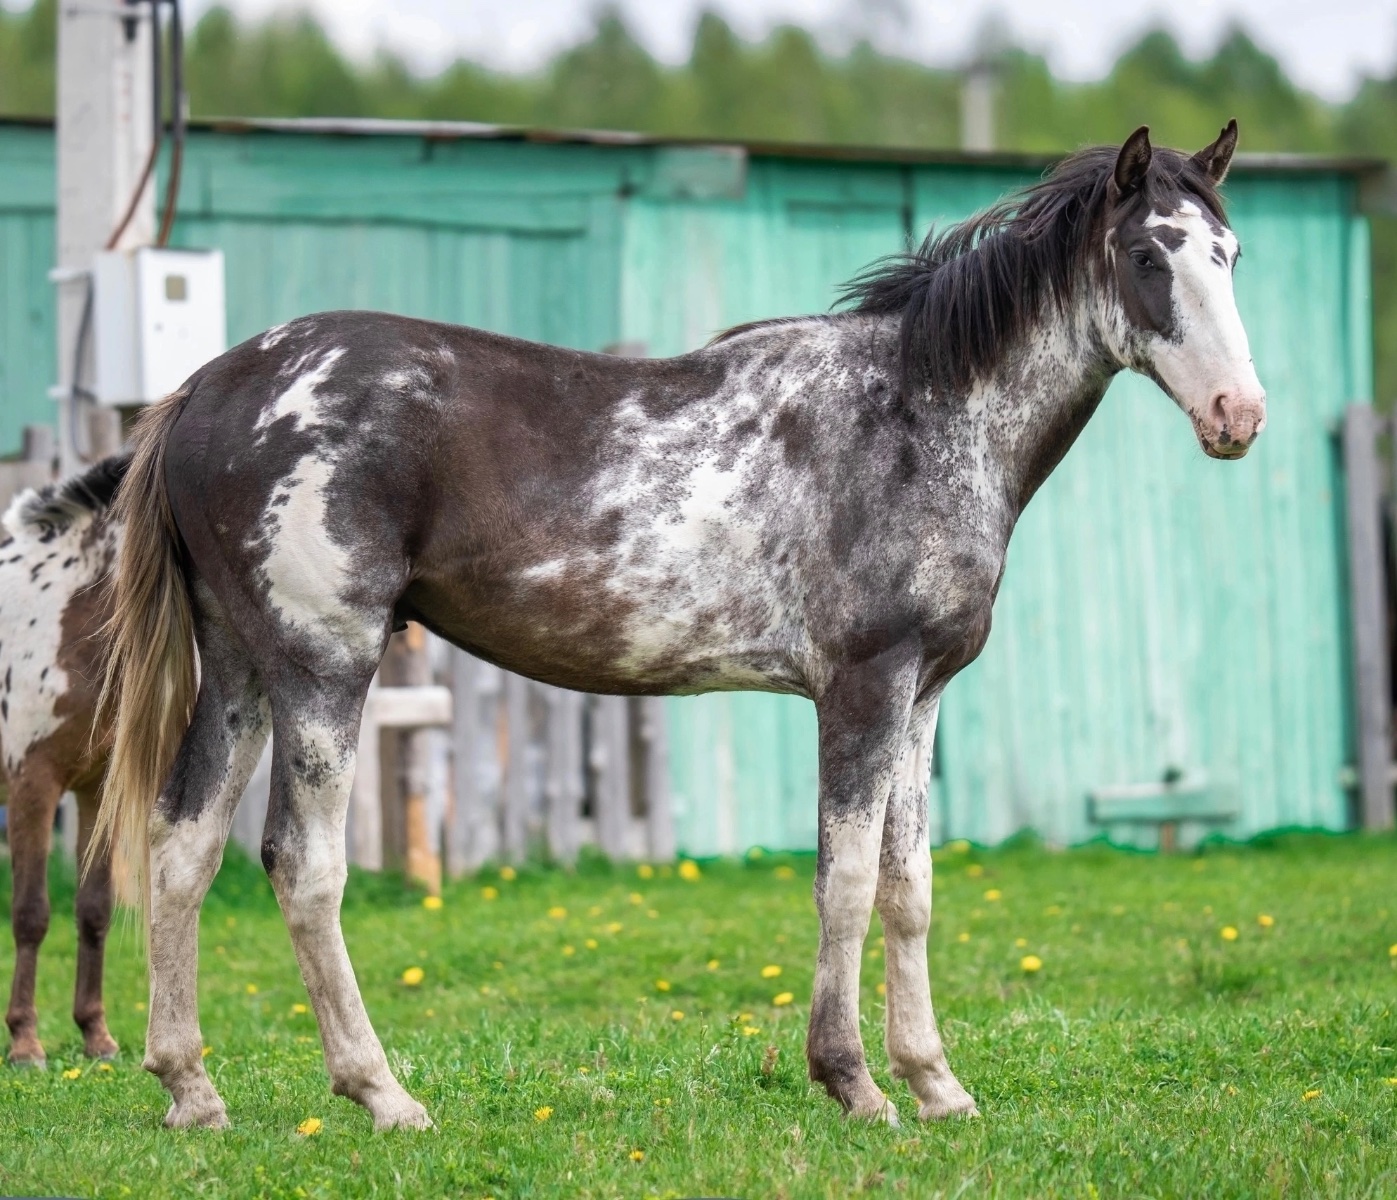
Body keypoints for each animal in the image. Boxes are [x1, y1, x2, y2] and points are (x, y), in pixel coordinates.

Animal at [93, 121, 1263, 1130]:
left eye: (1229, 252)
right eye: (1148, 255)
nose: (1238, 417)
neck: (912, 412)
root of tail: (209, 389)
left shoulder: (921, 695)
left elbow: (908, 888)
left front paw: (935, 1084)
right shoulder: (861, 689)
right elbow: (843, 883)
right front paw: (853, 1084)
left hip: (240, 670)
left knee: (180, 844)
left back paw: (192, 1090)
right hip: (321, 669)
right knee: (302, 864)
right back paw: (382, 1095)